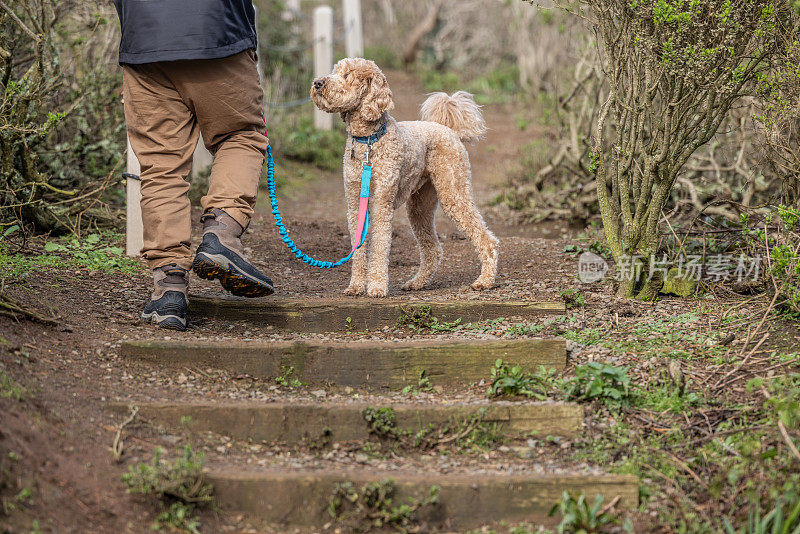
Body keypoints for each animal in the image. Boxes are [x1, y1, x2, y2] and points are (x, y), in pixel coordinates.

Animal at [310, 60, 496, 300]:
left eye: (347, 75)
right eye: (334, 71)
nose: (317, 83)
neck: (368, 140)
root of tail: (447, 129)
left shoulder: (381, 203)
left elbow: (379, 245)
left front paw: (377, 287)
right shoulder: (354, 203)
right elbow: (358, 247)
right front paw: (356, 286)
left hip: (454, 192)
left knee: (487, 240)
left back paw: (485, 281)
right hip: (419, 207)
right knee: (433, 250)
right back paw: (416, 283)